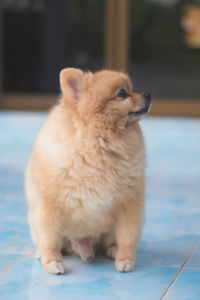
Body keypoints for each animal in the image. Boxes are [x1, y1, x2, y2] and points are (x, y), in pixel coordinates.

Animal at [25, 68, 151, 274]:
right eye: (123, 93)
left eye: (131, 89)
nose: (148, 94)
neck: (99, 145)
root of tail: (82, 247)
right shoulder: (49, 208)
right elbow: (49, 240)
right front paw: (52, 262)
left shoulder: (128, 203)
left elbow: (128, 236)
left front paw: (125, 260)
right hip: (34, 221)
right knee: (50, 241)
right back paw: (40, 253)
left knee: (110, 241)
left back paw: (112, 250)